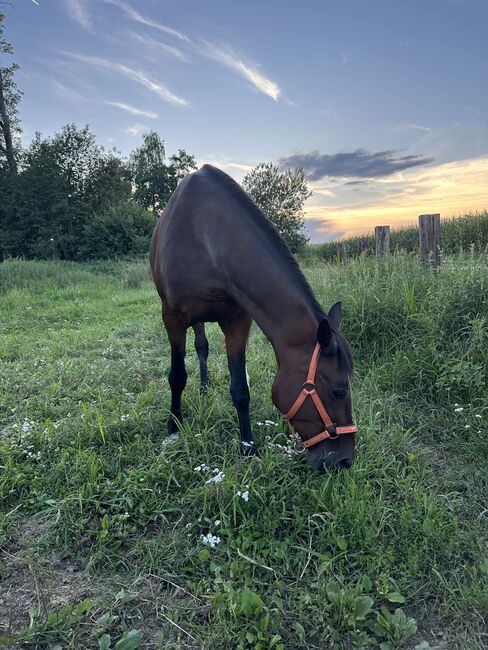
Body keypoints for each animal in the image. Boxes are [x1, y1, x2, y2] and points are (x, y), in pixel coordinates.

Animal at [151, 165, 356, 468]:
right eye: (338, 391)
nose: (344, 461)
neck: (205, 238)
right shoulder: (172, 318)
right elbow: (176, 377)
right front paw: (173, 428)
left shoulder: (237, 322)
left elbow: (240, 389)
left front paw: (247, 445)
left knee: (202, 347)